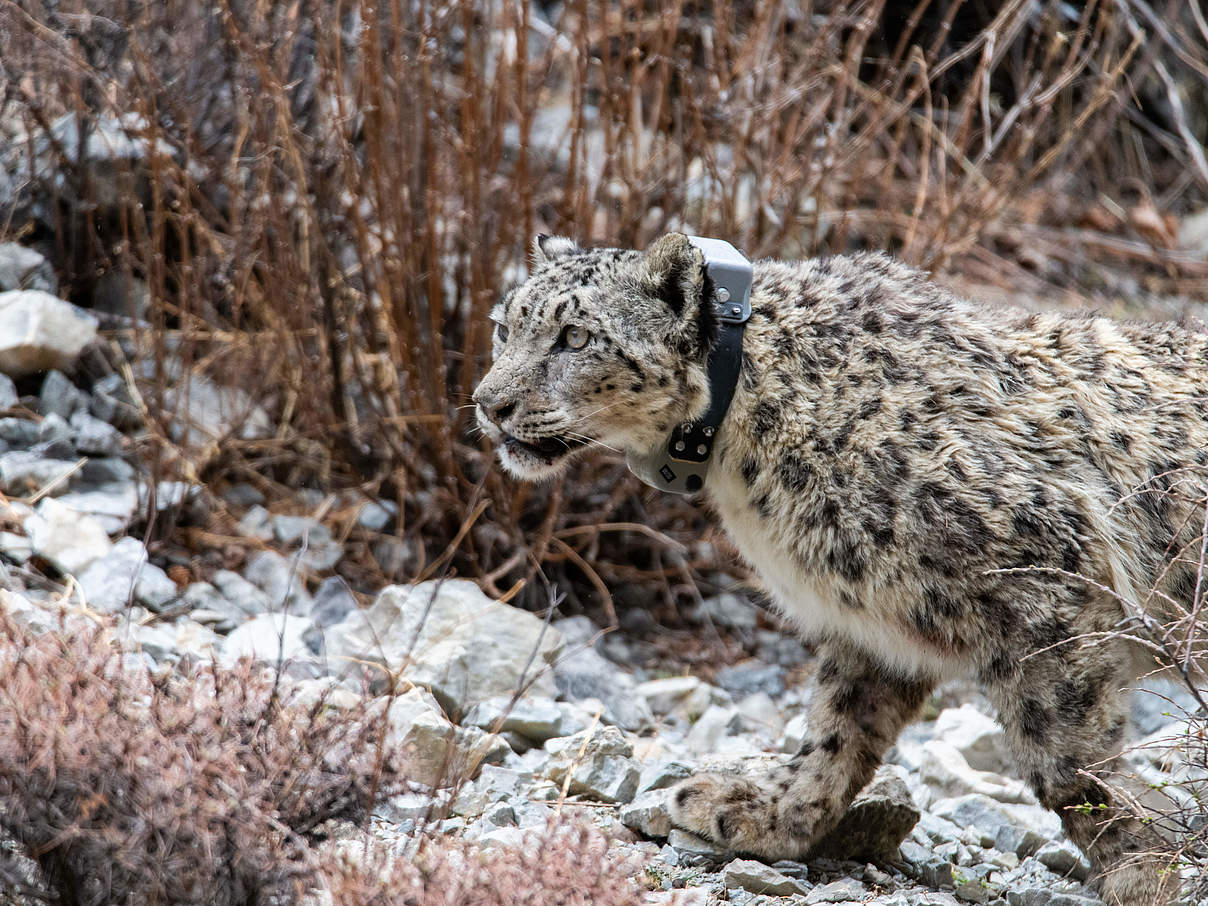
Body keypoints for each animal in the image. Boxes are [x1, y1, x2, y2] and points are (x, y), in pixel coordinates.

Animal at [473, 231, 1208, 903]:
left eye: (574, 337)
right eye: (504, 327)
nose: (488, 402)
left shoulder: (1043, 577)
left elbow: (1067, 761)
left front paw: (1142, 872)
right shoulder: (873, 618)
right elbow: (836, 729)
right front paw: (767, 814)